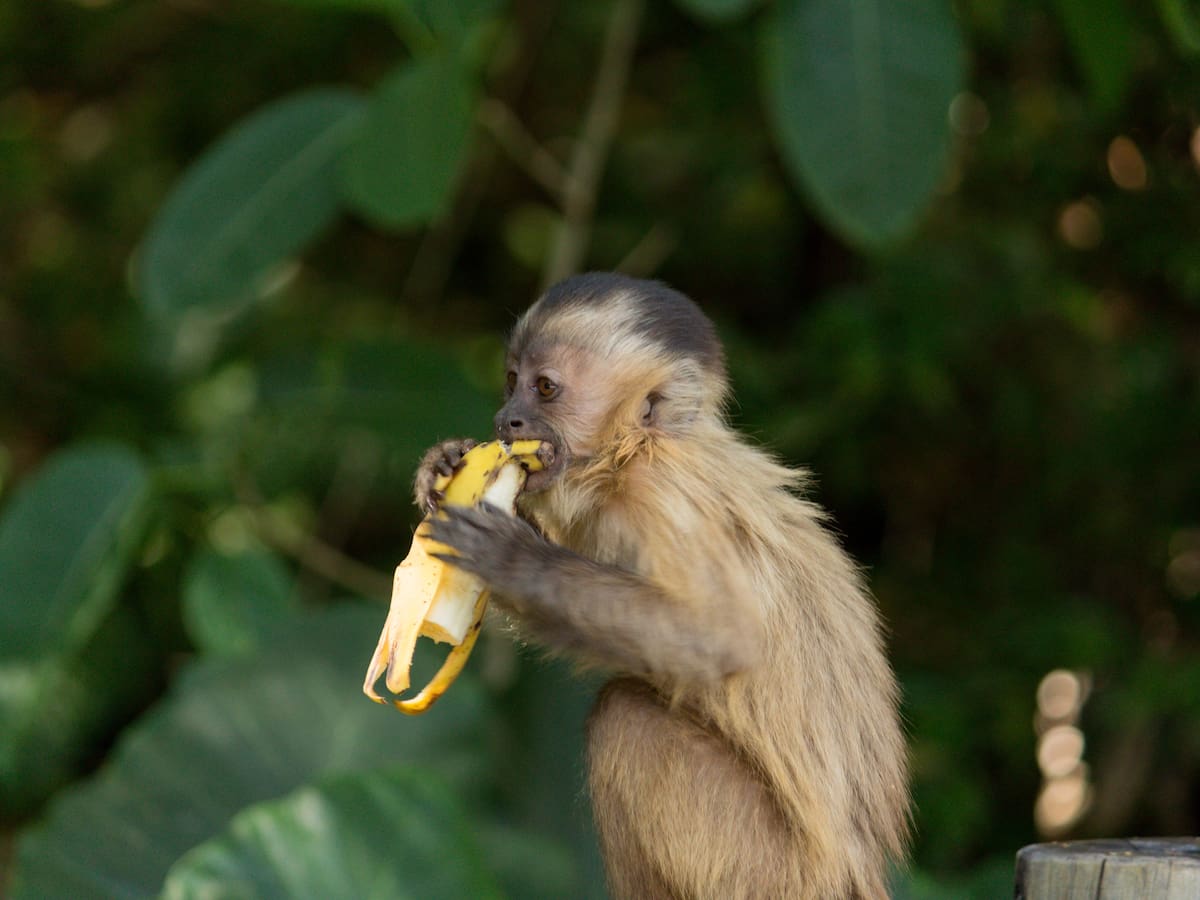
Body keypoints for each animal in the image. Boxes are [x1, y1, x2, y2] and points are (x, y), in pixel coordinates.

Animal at [416, 273, 909, 899]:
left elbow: (722, 637)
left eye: (544, 389)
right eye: (510, 381)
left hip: (771, 873)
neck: (631, 452)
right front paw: (442, 464)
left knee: (625, 720)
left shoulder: (660, 495)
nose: (508, 419)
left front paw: (510, 559)